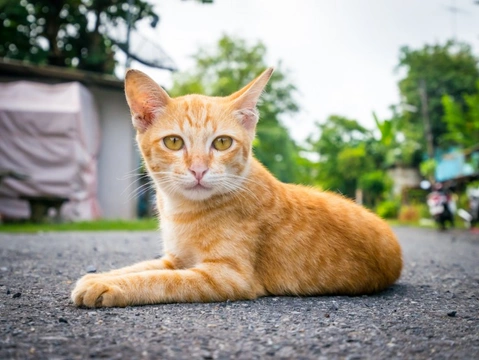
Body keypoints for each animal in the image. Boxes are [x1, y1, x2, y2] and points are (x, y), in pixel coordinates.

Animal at [70, 67, 402, 306]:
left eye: (222, 143)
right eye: (174, 142)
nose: (199, 169)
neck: (182, 211)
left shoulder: (226, 276)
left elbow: (157, 280)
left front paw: (105, 284)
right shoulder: (173, 260)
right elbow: (140, 267)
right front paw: (100, 277)